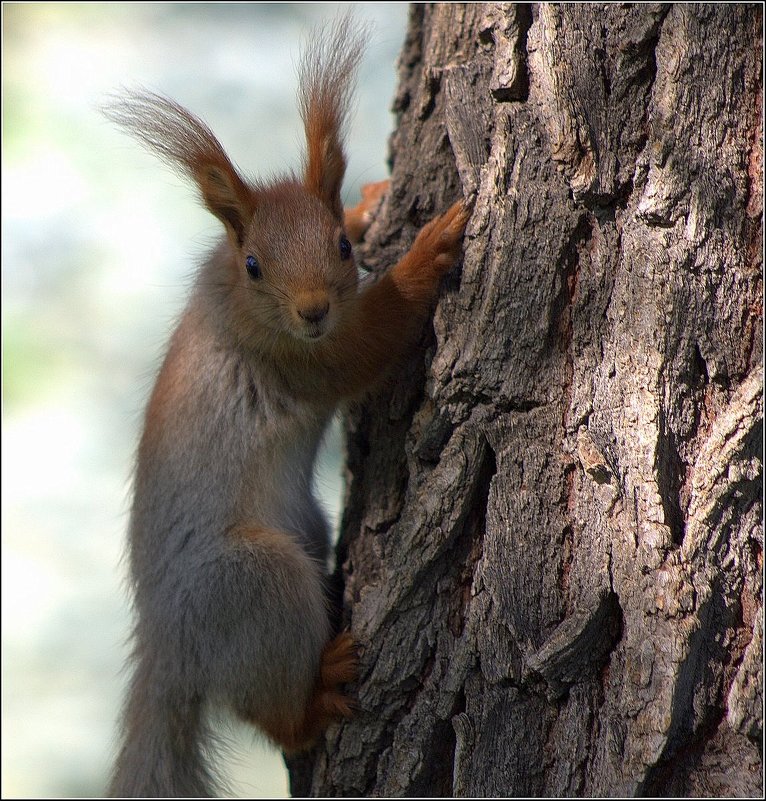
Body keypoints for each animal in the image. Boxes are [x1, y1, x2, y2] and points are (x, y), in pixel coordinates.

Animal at [105, 14, 472, 800]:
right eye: (254, 266)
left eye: (338, 245)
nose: (311, 311)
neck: (235, 297)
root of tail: (168, 650)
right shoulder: (297, 357)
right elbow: (367, 342)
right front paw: (425, 253)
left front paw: (369, 201)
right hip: (254, 585)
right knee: (268, 713)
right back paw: (318, 692)